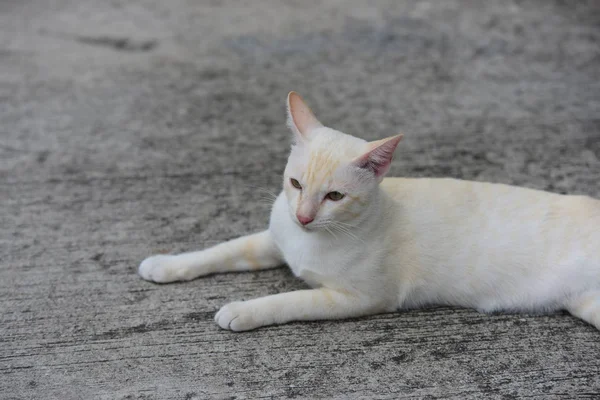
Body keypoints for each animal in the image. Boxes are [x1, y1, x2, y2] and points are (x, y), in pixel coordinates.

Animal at [137, 93, 600, 332]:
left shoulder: (358, 299)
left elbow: (288, 300)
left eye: (334, 196)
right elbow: (221, 250)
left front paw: (243, 310)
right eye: (296, 185)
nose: (303, 217)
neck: (313, 239)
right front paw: (165, 264)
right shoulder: (272, 240)